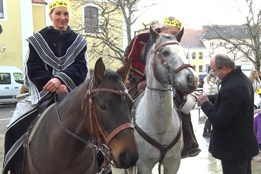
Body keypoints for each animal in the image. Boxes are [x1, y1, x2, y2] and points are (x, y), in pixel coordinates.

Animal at [121, 27, 198, 174]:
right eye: (165, 52)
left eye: (185, 52)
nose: (193, 79)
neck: (160, 126)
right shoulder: (144, 164)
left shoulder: (173, 163)